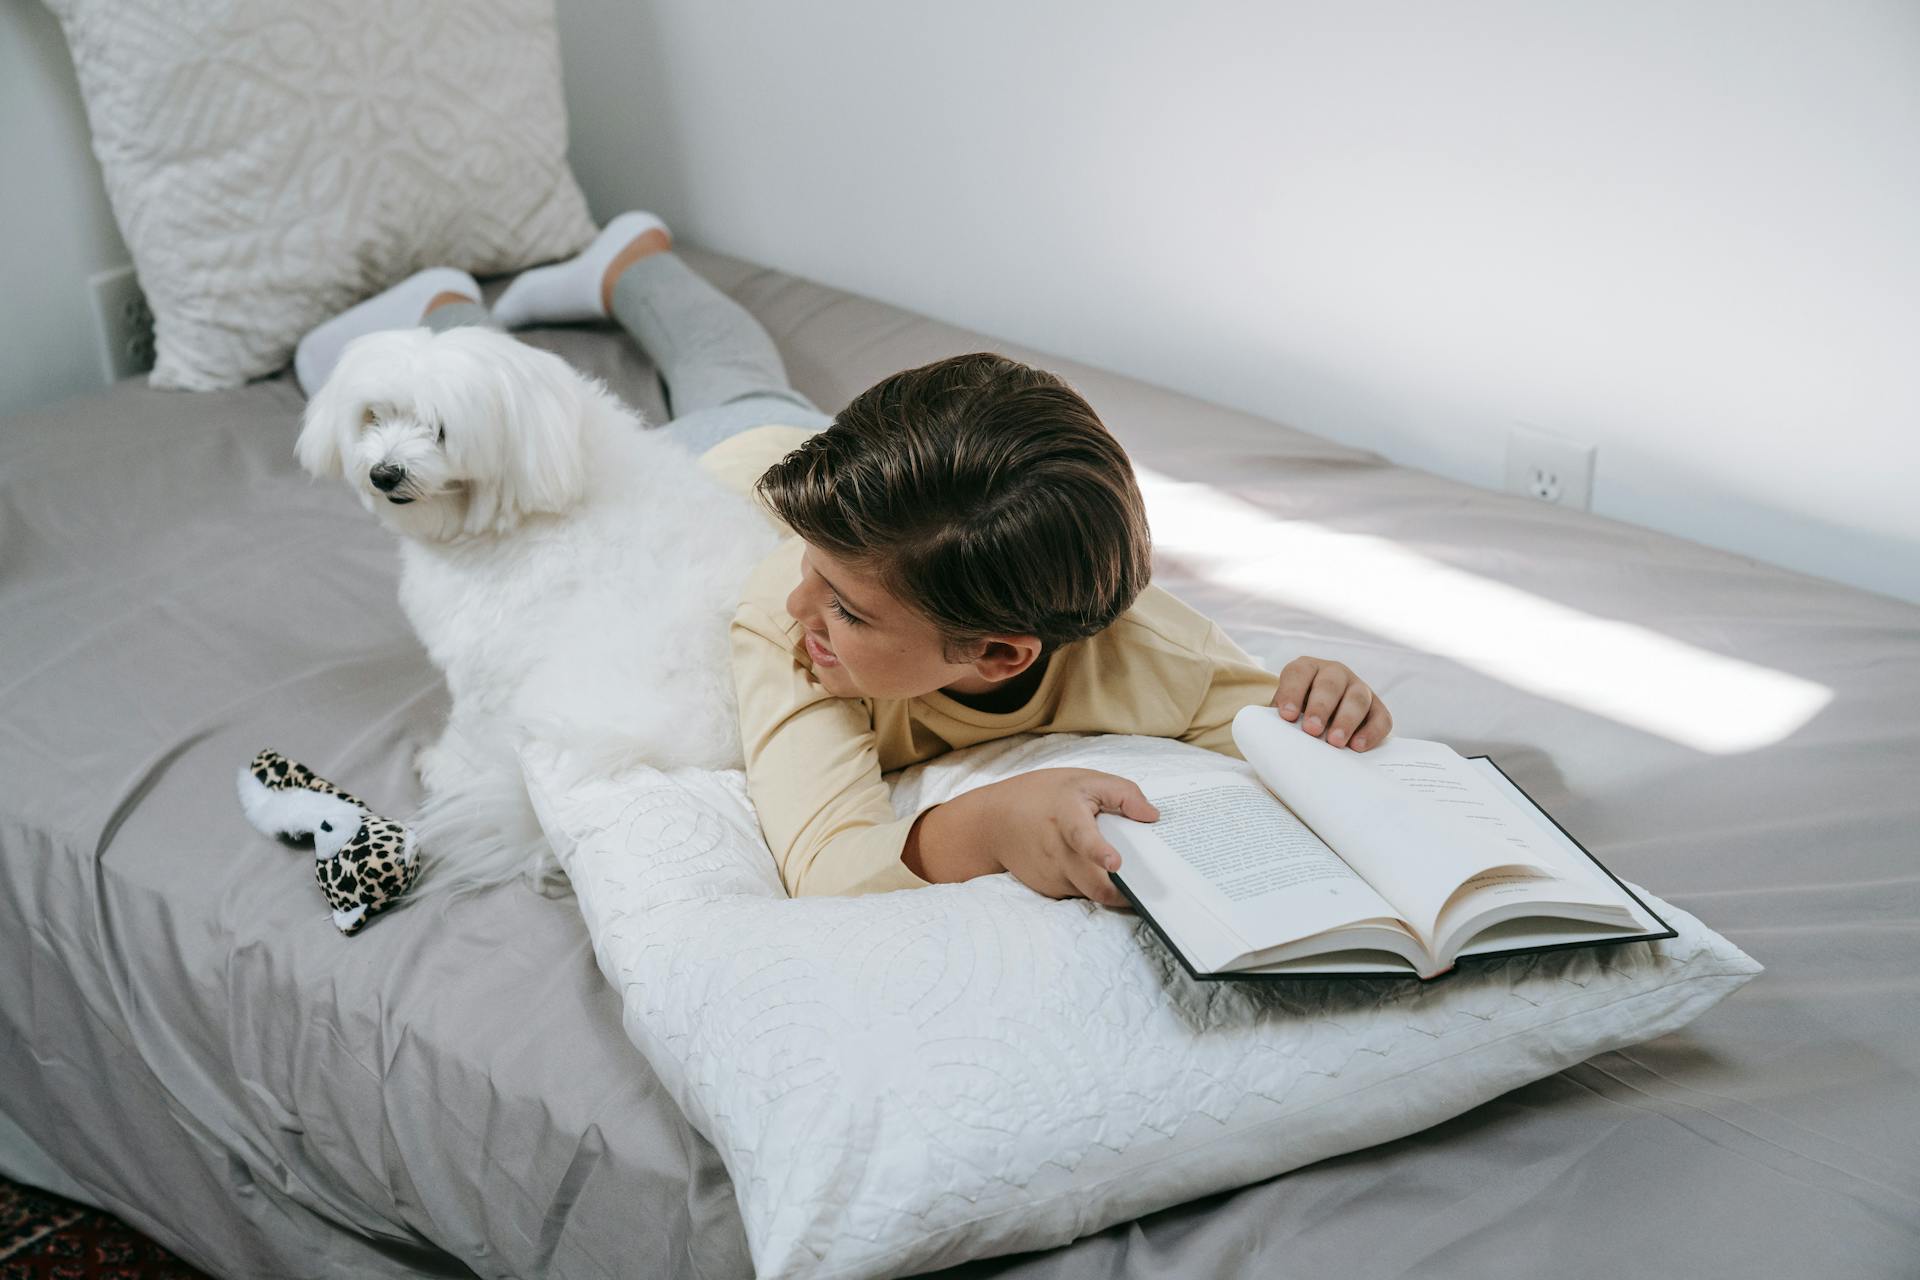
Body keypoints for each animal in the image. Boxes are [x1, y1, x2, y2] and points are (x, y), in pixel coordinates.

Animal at [295, 326, 775, 898]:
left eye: (440, 431)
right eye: (375, 415)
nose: (385, 473)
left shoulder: (489, 664)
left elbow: (469, 731)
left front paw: (443, 767)